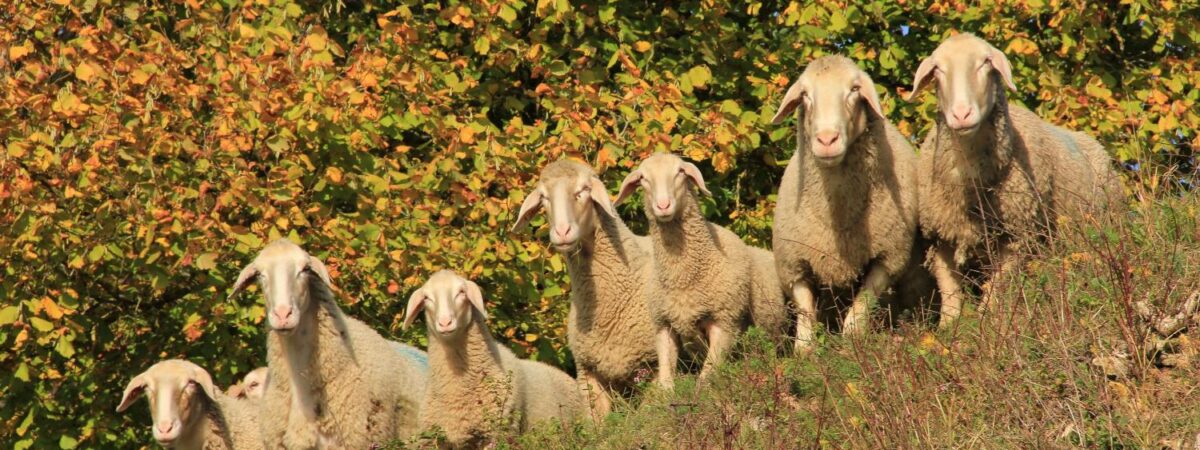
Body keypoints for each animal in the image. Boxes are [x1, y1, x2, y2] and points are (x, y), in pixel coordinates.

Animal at [615, 153, 789, 388]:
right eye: (643, 179)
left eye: (680, 172)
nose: (663, 205)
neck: (682, 278)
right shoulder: (663, 325)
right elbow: (666, 380)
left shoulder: (726, 322)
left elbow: (706, 379)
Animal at [768, 55, 922, 351]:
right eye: (805, 94)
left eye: (854, 90)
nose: (827, 139)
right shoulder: (794, 262)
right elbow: (805, 312)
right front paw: (805, 350)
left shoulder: (890, 256)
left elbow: (861, 306)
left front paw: (852, 346)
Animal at [907, 33, 1121, 326]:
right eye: (938, 69)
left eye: (986, 62)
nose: (961, 114)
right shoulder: (940, 236)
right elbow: (950, 293)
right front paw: (948, 328)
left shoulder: (1018, 236)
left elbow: (997, 288)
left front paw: (989, 325)